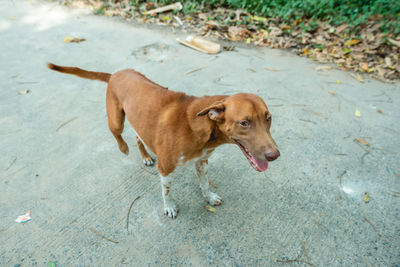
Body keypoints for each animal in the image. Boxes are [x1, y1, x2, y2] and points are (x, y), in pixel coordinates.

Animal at [47, 63, 278, 219]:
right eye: (244, 123)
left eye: (268, 117)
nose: (274, 155)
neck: (200, 129)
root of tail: (116, 73)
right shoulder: (165, 169)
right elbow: (167, 192)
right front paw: (169, 207)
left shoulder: (202, 162)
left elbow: (204, 183)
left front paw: (210, 197)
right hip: (116, 121)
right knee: (117, 133)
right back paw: (123, 148)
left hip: (139, 121)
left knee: (138, 137)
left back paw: (146, 156)